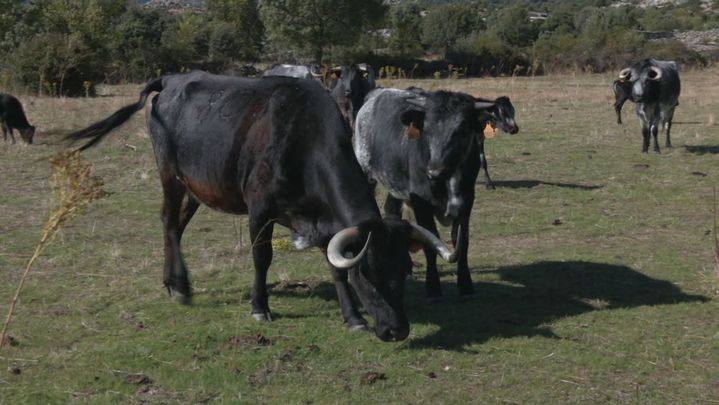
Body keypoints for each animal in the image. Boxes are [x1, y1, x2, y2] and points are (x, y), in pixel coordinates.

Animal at [65, 71, 459, 341]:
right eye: (368, 274)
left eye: (403, 268)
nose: (397, 330)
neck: (302, 137)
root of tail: (173, 79)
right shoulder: (260, 211)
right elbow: (262, 257)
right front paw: (260, 308)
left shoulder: (326, 222)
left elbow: (334, 268)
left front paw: (353, 317)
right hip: (170, 177)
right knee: (167, 221)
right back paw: (179, 285)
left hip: (196, 187)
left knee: (176, 225)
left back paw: (175, 283)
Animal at [354, 87, 519, 300]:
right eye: (427, 128)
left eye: (461, 129)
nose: (434, 172)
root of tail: (377, 93)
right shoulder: (421, 203)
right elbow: (430, 241)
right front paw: (433, 288)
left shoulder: (466, 202)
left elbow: (462, 242)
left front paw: (466, 285)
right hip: (366, 173)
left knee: (391, 209)